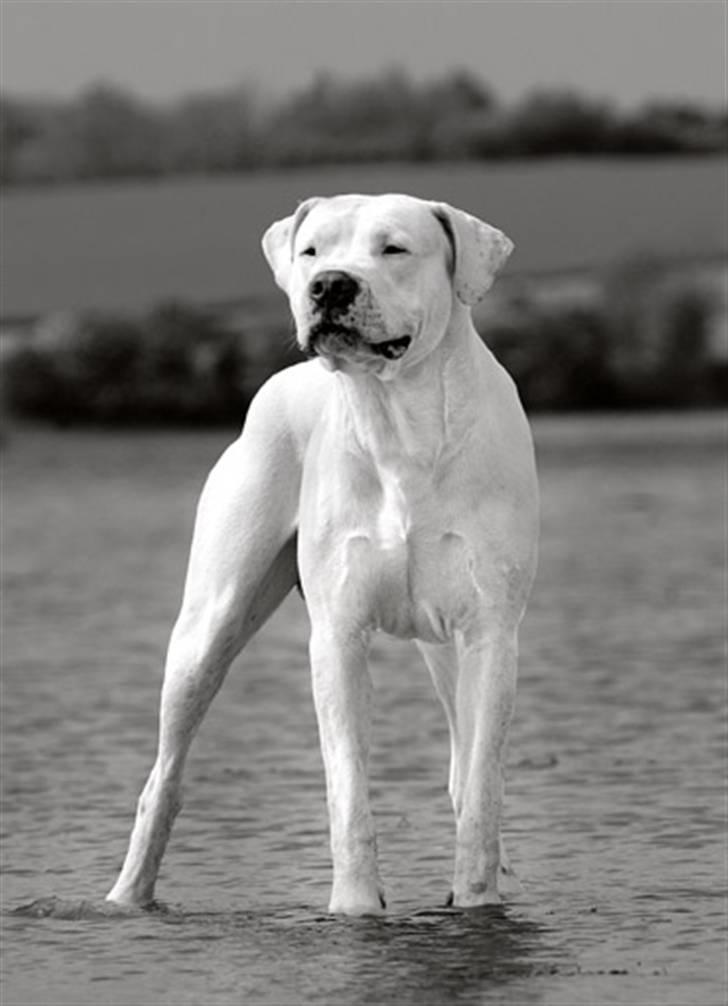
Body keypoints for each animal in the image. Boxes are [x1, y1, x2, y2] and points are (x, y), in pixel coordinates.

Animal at [108, 192, 538, 917]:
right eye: (313, 250)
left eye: (394, 248)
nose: (330, 285)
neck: (398, 420)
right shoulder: (338, 634)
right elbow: (348, 793)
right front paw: (356, 907)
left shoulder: (489, 633)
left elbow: (481, 791)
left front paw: (478, 904)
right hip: (207, 628)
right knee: (163, 776)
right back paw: (125, 896)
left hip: (447, 650)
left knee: (462, 761)